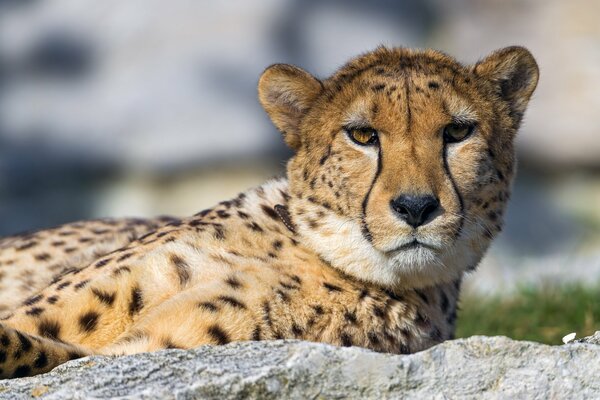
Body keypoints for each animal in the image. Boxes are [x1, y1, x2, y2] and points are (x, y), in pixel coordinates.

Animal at [0, 47, 540, 378]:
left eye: (458, 132)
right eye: (362, 135)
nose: (416, 206)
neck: (308, 252)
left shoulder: (144, 354)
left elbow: (41, 351)